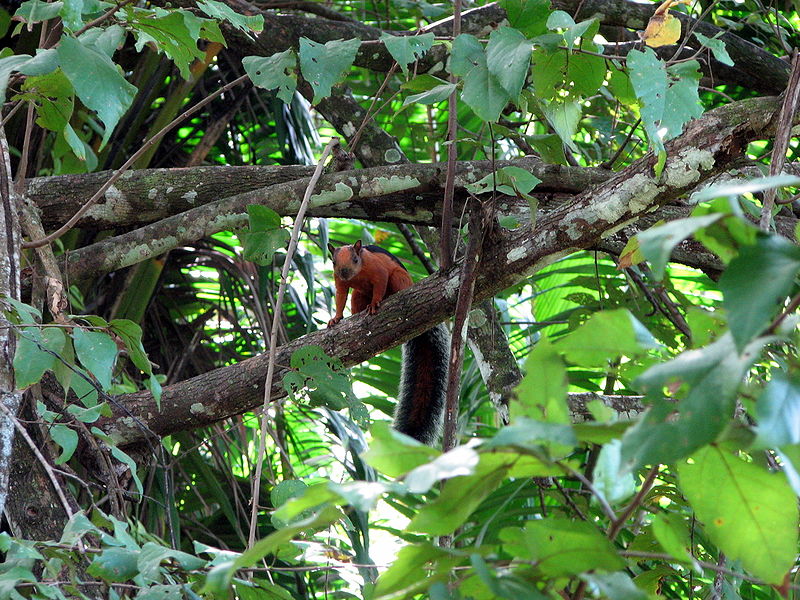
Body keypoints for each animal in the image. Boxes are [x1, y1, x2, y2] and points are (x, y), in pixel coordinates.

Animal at [326, 240, 450, 446]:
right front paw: (336, 318)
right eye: (334, 262)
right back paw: (356, 314)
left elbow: (380, 282)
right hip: (358, 295)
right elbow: (340, 296)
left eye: (355, 259)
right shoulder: (340, 282)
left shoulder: (378, 269)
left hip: (400, 278)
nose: (344, 272)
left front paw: (375, 304)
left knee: (394, 286)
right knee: (356, 297)